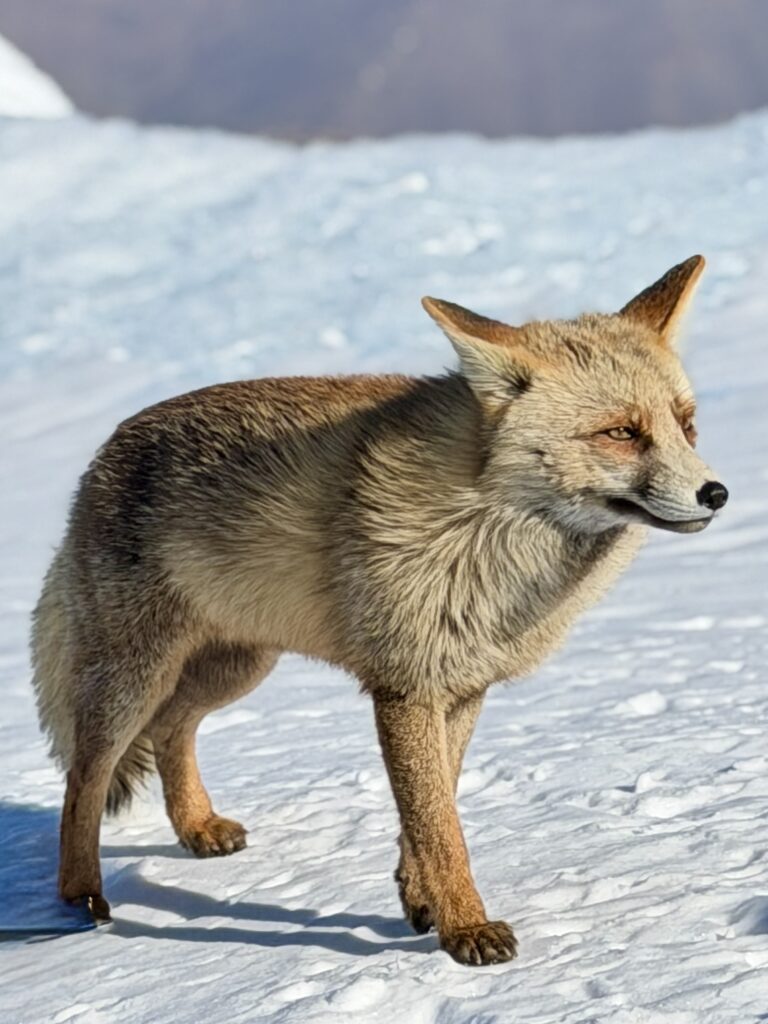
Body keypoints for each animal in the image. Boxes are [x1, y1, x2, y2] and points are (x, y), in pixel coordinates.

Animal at [31, 255, 727, 965]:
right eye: (622, 433)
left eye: (685, 424)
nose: (717, 493)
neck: (481, 528)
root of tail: (101, 455)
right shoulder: (405, 685)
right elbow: (439, 824)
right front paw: (466, 928)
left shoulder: (462, 684)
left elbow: (433, 806)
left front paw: (421, 901)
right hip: (136, 680)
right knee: (84, 778)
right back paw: (80, 900)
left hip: (235, 669)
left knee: (173, 729)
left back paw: (196, 827)